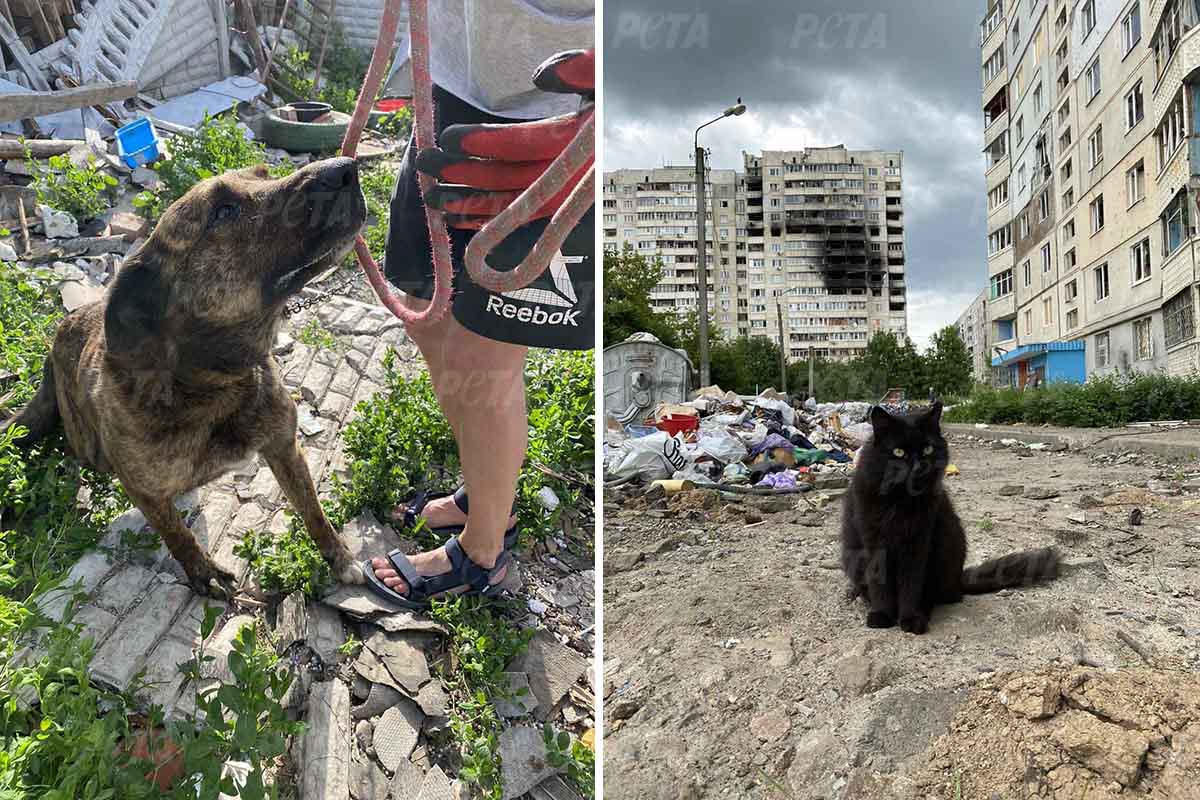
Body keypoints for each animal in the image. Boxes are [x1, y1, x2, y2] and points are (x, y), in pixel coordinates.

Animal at [2, 155, 367, 597]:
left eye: (264, 174)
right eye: (223, 211)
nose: (346, 168)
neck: (214, 381)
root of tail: (57, 335)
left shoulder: (285, 448)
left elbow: (313, 509)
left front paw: (340, 556)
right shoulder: (141, 488)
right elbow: (177, 534)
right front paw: (202, 571)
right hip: (88, 445)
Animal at [840, 402, 1056, 633]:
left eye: (927, 449)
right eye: (898, 452)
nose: (918, 467)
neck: (900, 500)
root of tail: (958, 581)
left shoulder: (918, 542)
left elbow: (911, 585)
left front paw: (910, 618)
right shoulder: (874, 541)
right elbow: (879, 582)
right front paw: (882, 615)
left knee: (938, 595)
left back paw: (923, 612)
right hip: (852, 555)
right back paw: (858, 594)